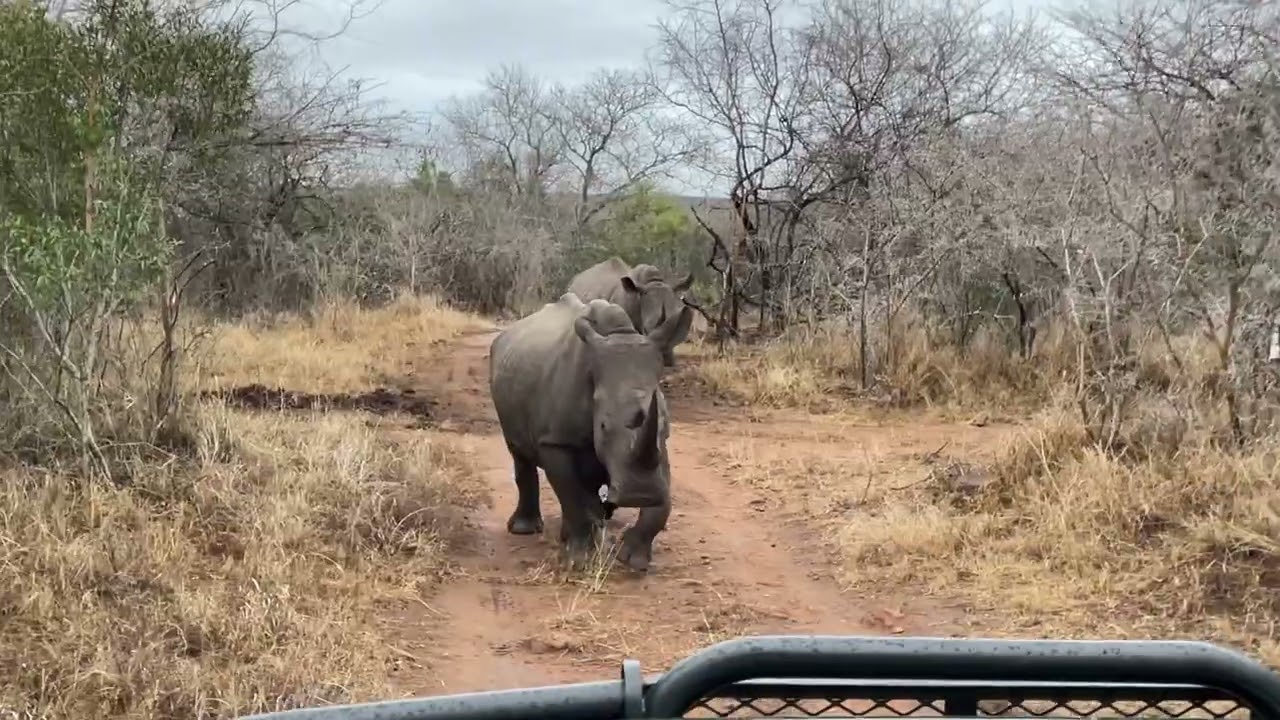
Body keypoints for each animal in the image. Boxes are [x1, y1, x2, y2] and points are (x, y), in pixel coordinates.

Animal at [488, 292, 692, 572]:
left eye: (664, 422)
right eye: (603, 426)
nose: (641, 494)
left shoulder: (659, 448)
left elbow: (662, 500)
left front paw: (635, 561)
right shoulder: (555, 441)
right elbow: (571, 494)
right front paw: (579, 559)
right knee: (520, 453)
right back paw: (525, 530)